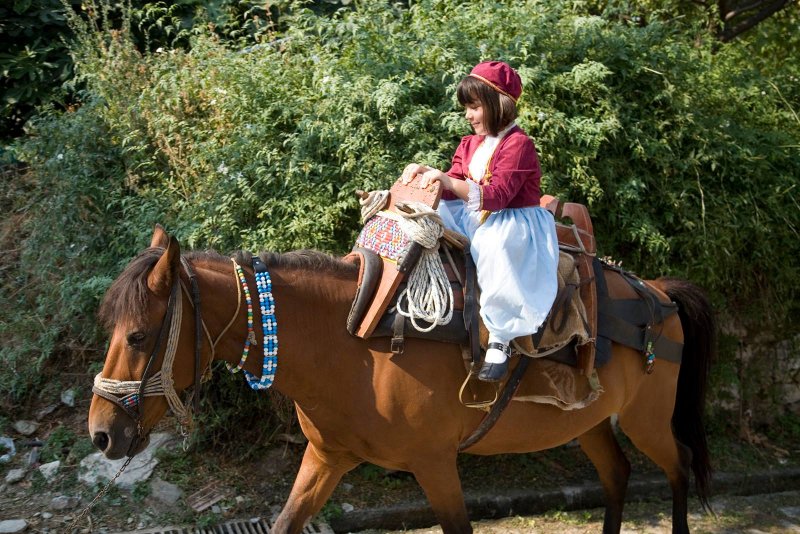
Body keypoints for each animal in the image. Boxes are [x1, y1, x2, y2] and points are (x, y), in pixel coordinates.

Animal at [87, 227, 712, 534]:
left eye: (138, 337)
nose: (101, 433)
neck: (352, 341)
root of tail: (657, 293)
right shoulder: (326, 458)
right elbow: (286, 523)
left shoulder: (434, 463)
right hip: (588, 421)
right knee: (618, 475)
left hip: (647, 418)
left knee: (679, 467)